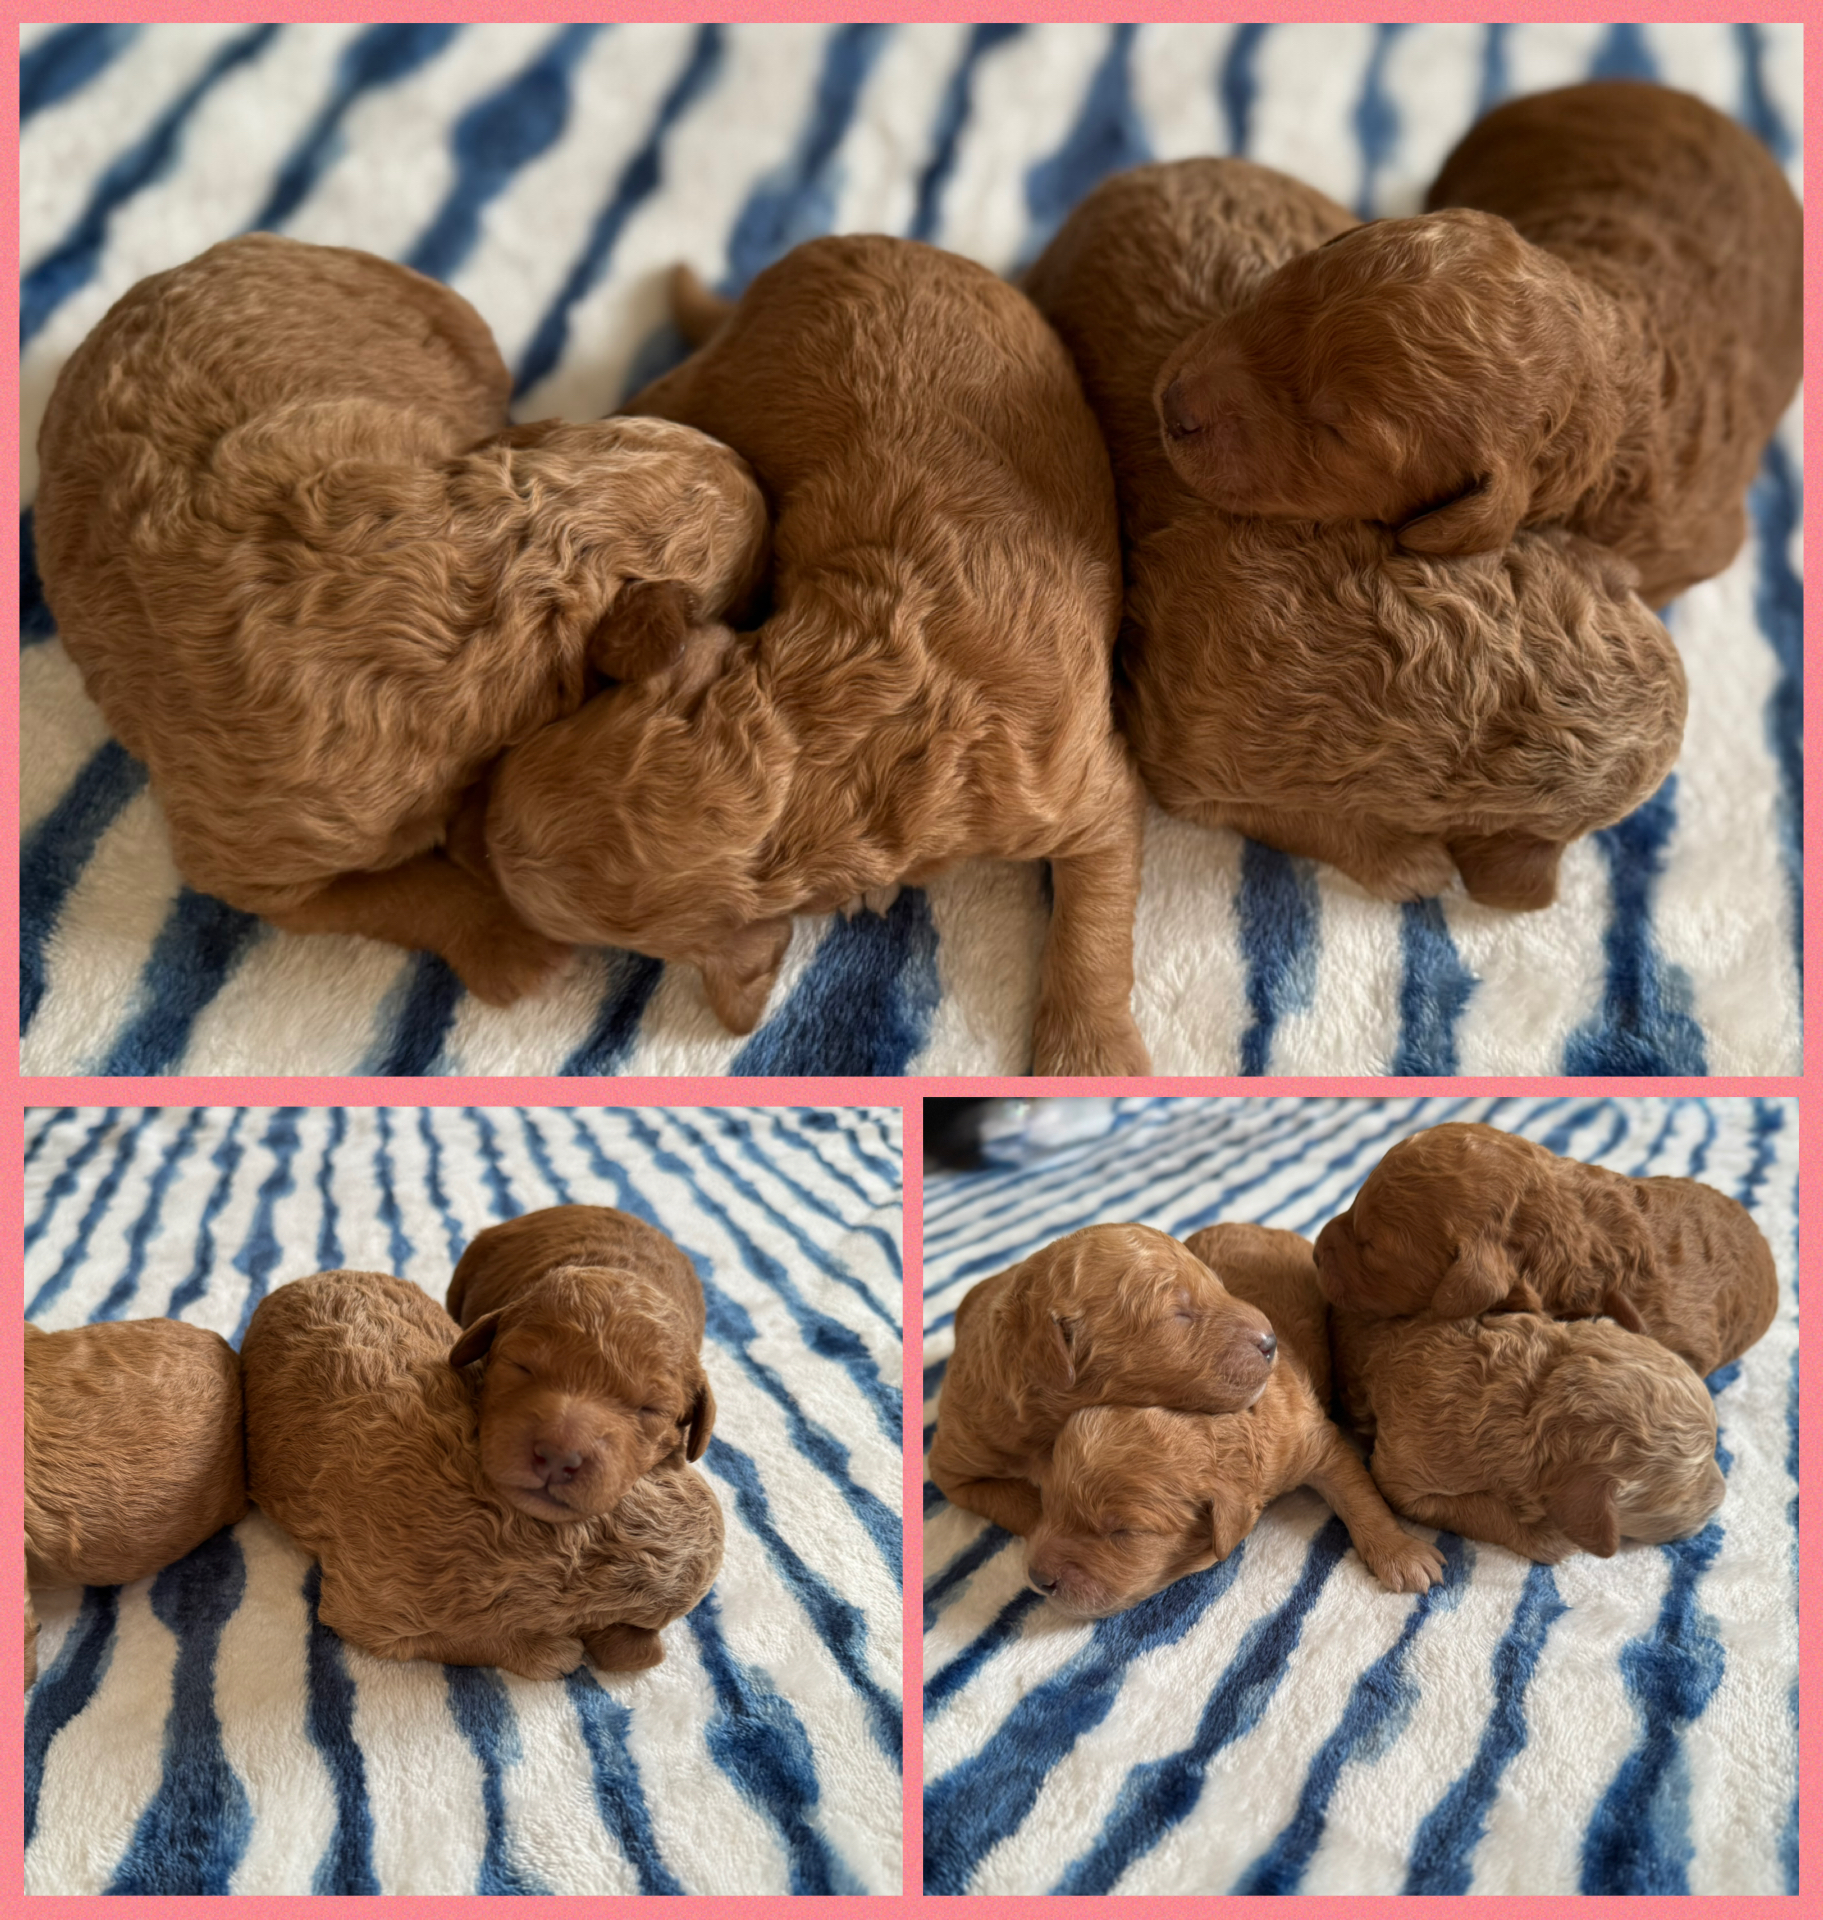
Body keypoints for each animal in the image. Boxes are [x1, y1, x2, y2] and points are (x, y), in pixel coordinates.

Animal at [242, 1270, 722, 1677]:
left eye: (651, 1410)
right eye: (522, 1367)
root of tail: (297, 1281)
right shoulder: (378, 1610)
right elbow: (461, 1641)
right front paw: (547, 1652)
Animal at [474, 235, 1151, 1073]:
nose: (476, 824)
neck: (832, 742)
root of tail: (830, 249)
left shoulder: (1083, 788)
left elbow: (1089, 929)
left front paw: (1087, 1053)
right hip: (719, 373)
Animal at [1024, 1224, 1443, 1615]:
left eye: (1124, 1532)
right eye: (1048, 1499)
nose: (1036, 1578)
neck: (1222, 1428)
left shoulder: (1316, 1442)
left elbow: (1360, 1494)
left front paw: (1402, 1553)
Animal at [1025, 157, 1684, 913]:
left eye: (1337, 435)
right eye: (1292, 279)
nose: (1172, 405)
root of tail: (1129, 178)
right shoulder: (1191, 759)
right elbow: (1301, 821)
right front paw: (1409, 865)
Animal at [1330, 1306, 1726, 1563]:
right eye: (1681, 1499)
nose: (1723, 1496)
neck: (1534, 1392)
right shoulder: (1404, 1480)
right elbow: (1483, 1512)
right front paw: (1549, 1539)